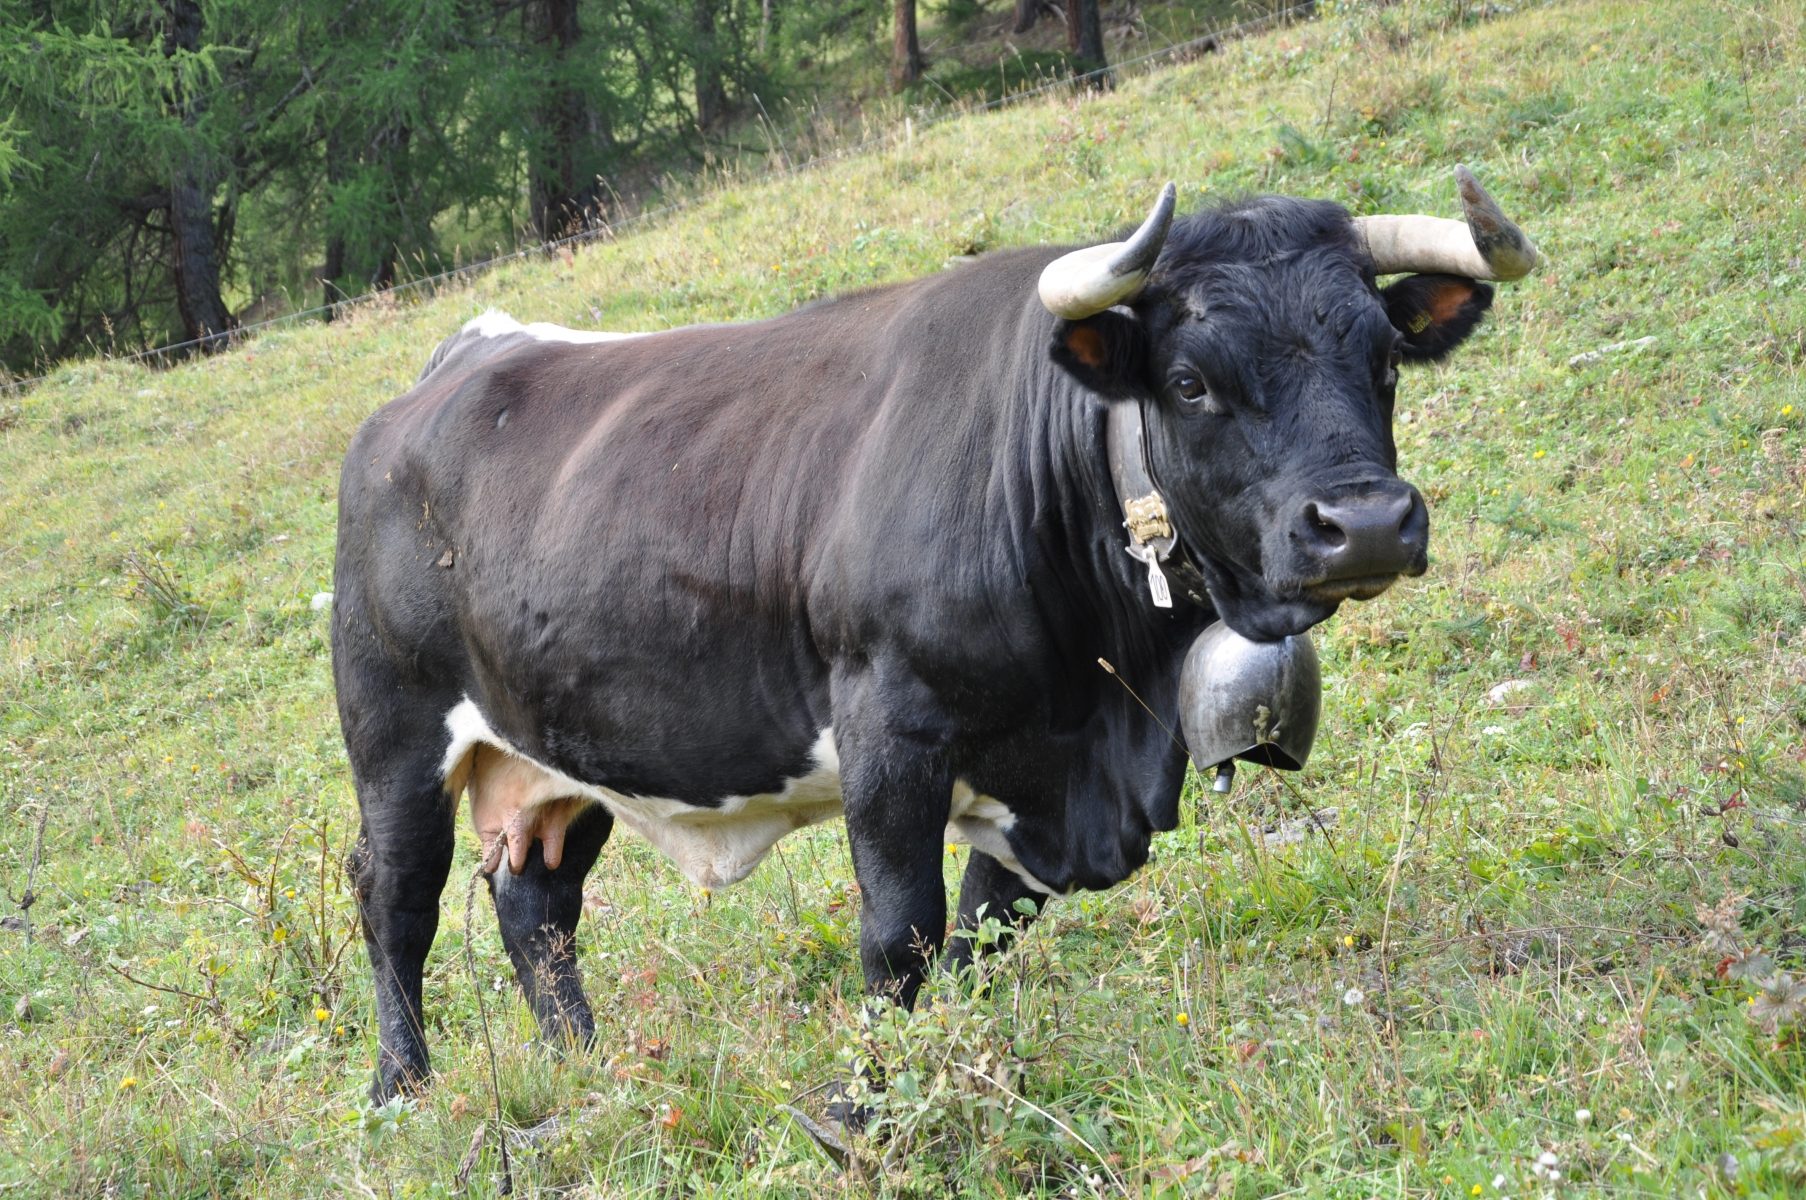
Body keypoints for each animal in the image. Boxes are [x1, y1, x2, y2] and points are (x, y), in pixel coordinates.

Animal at [332, 185, 1517, 1098]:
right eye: (1191, 382)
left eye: (1387, 362)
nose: (1365, 523)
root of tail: (460, 360)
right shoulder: (890, 731)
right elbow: (900, 935)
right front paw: (875, 1102)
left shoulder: (1039, 774)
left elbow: (984, 939)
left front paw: (958, 1068)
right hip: (393, 735)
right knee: (396, 902)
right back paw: (404, 1091)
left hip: (559, 747)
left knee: (537, 905)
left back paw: (588, 1070)